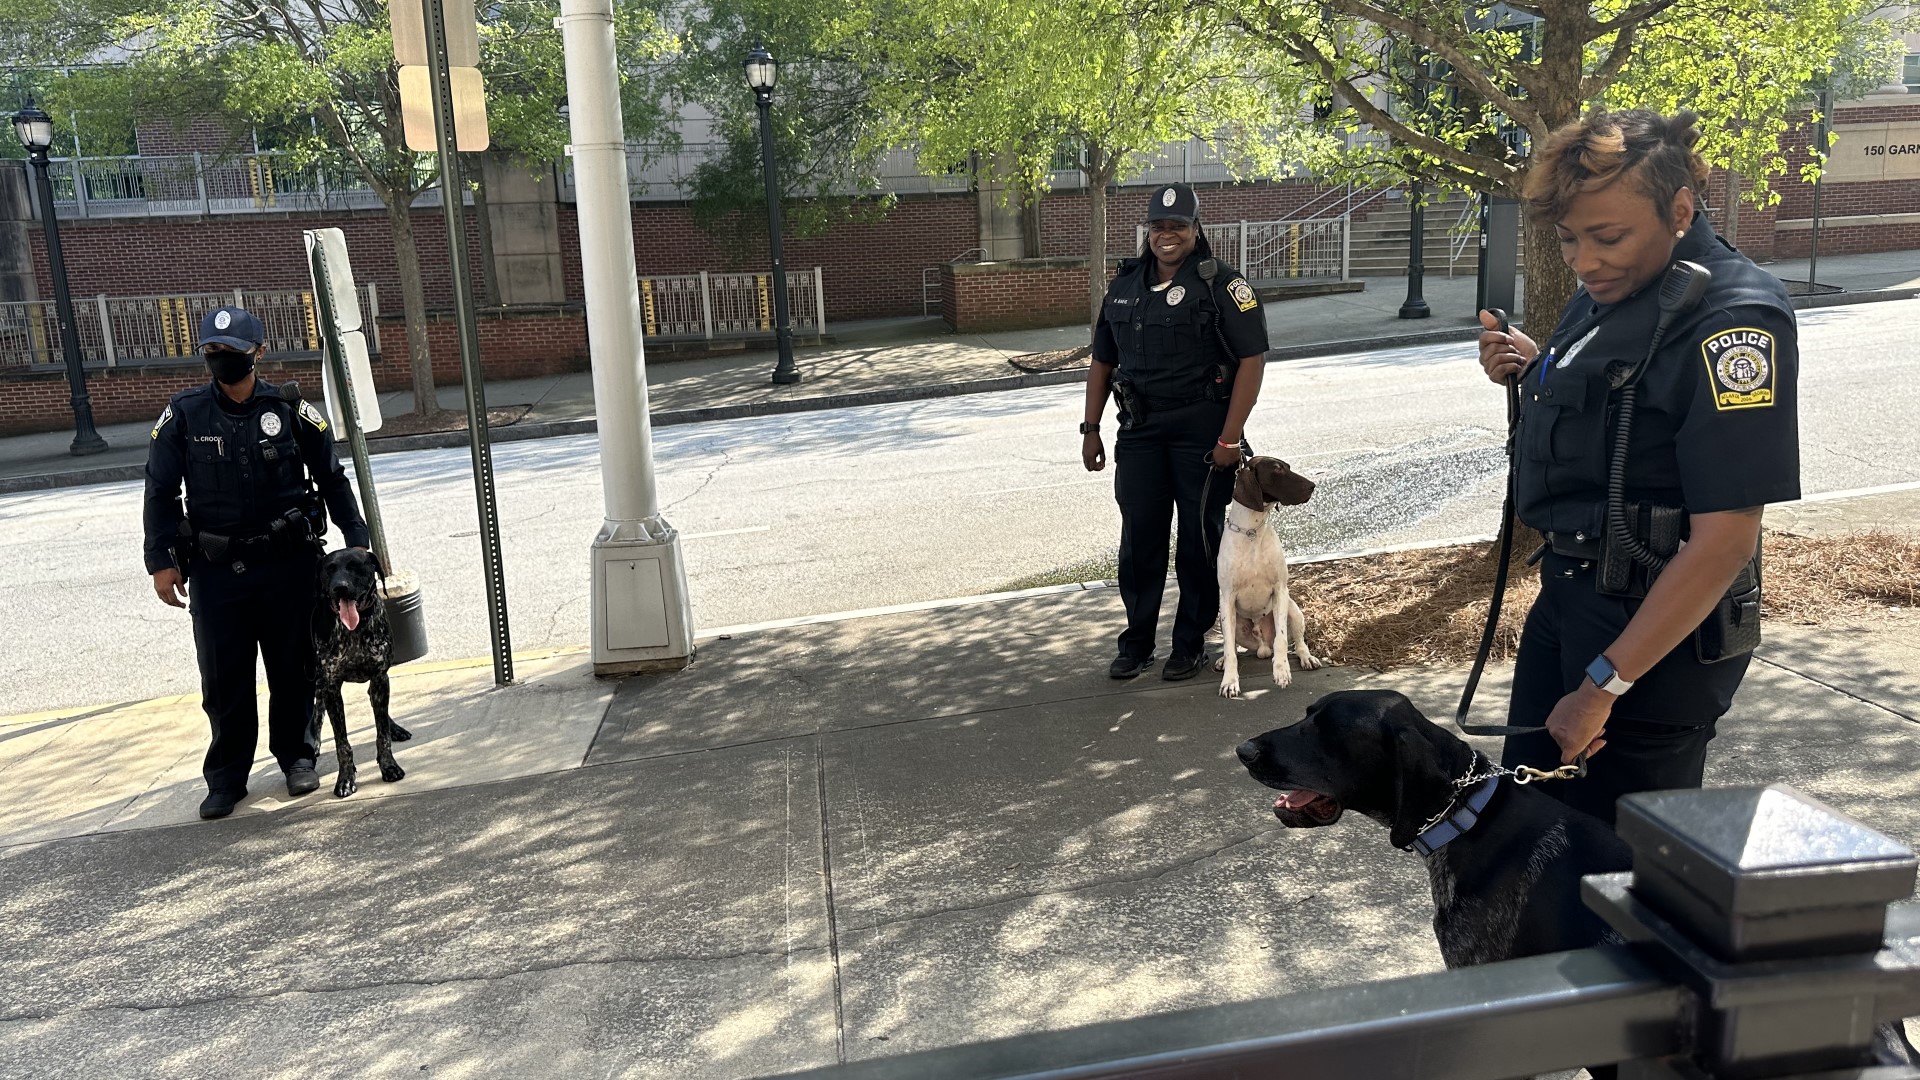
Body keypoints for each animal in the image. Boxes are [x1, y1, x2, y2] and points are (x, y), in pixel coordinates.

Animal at [312, 549, 410, 795]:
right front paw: (345, 778)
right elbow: (342, 743)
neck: (354, 631)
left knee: (377, 706)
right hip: (318, 679)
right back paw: (314, 742)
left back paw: (395, 728)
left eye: (355, 566)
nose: (340, 587)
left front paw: (389, 766)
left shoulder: (379, 677)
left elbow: (382, 734)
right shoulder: (331, 686)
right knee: (317, 708)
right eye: (330, 569)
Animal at [1213, 449, 1320, 691]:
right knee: (1231, 644)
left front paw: (1281, 670)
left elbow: (1282, 638)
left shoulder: (1280, 590)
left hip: (1293, 609)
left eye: (1288, 466)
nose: (1312, 485)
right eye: (1277, 470)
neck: (1252, 531)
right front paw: (1230, 681)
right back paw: (1223, 660)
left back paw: (1306, 657)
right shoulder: (1227, 598)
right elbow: (1229, 648)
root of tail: (1262, 646)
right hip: (1227, 616)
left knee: (1298, 640)